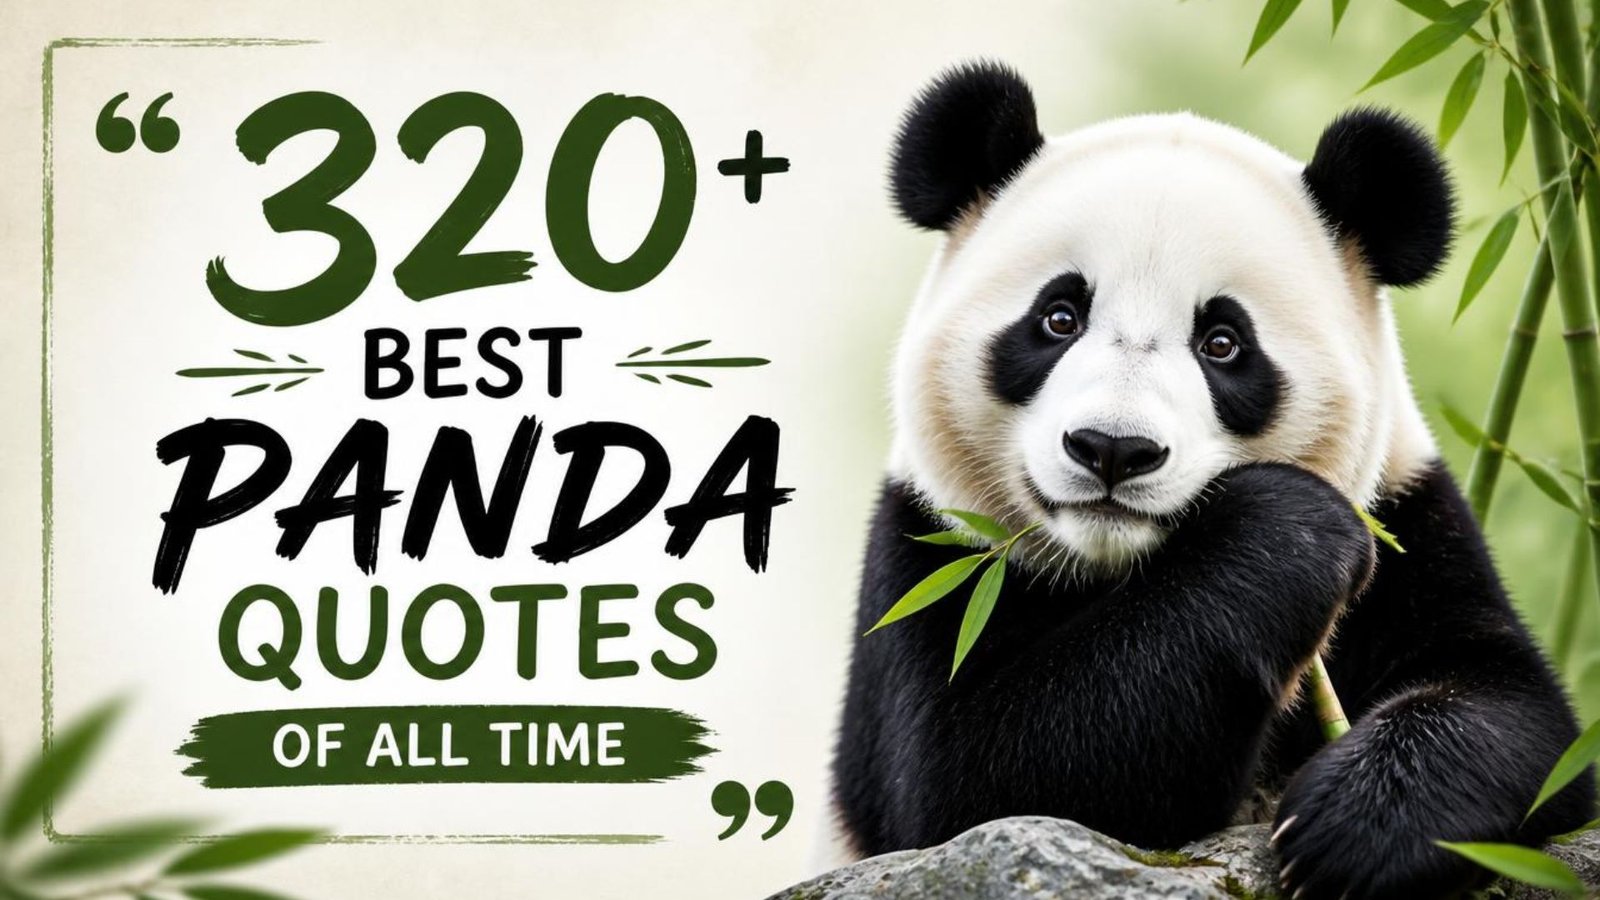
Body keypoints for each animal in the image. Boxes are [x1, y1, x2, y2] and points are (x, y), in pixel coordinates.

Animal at [830, 61, 1596, 899]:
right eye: (1059, 317)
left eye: (1223, 342)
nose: (1113, 449)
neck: (1121, 568)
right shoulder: (935, 555)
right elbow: (980, 782)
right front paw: (1287, 530)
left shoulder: (1409, 523)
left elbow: (1519, 714)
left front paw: (1352, 828)